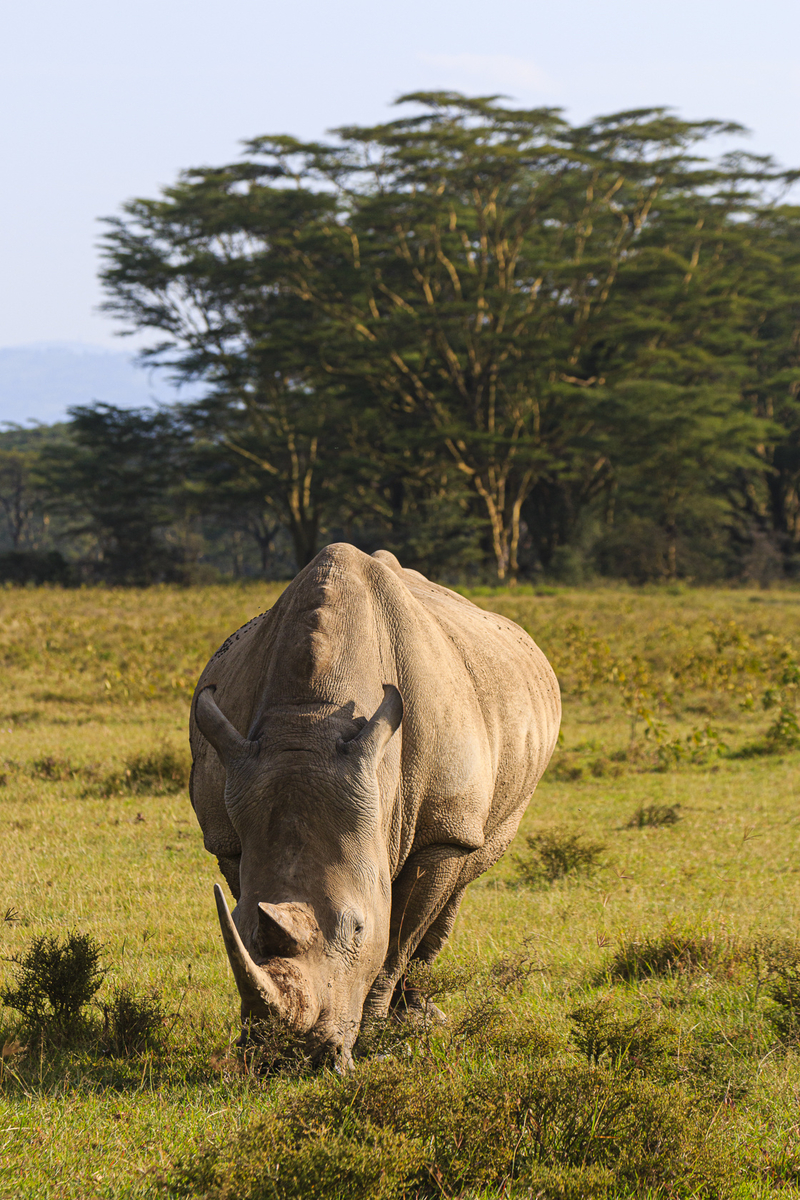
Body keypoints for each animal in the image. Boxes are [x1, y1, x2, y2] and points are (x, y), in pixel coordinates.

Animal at [190, 544, 561, 1070]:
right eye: (235, 923)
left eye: (358, 929)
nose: (292, 1059)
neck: (309, 718)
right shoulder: (228, 835)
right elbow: (256, 905)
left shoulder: (442, 828)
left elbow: (398, 935)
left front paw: (377, 1038)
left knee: (465, 871)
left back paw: (421, 1018)